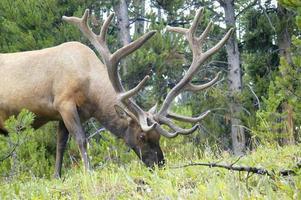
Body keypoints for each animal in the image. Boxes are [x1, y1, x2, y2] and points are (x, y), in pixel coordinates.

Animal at [0, 7, 232, 177]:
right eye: (141, 136)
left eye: (158, 136)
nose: (160, 164)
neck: (91, 92)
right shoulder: (64, 102)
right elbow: (81, 140)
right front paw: (89, 173)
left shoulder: (63, 114)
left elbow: (61, 145)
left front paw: (57, 176)